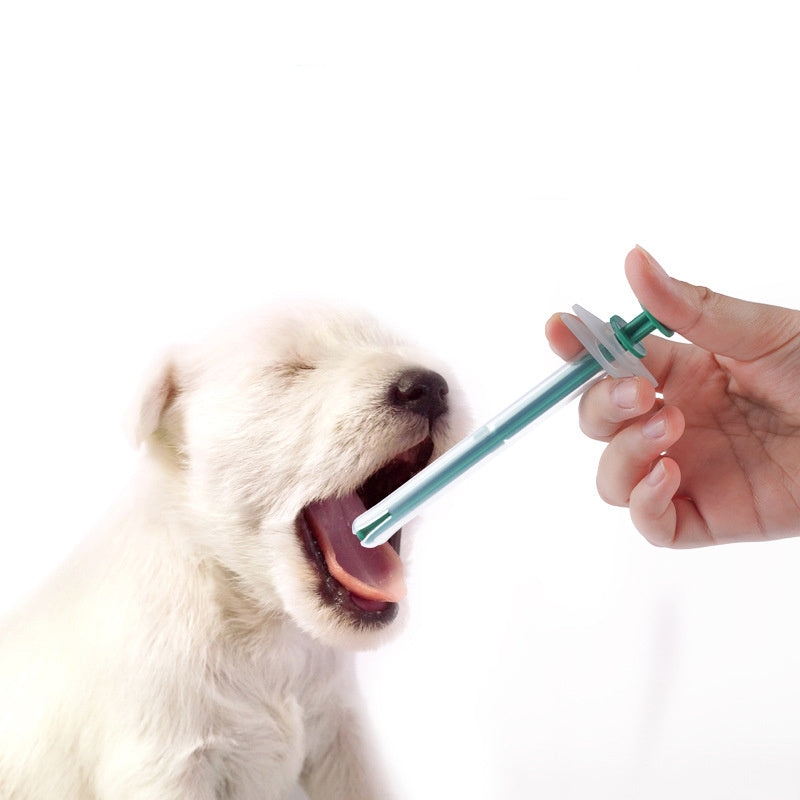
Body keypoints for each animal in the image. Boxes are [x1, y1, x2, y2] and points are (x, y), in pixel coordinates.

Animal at [0, 304, 460, 796]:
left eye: (394, 345)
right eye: (292, 369)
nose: (427, 386)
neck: (268, 627)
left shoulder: (343, 735)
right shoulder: (164, 764)